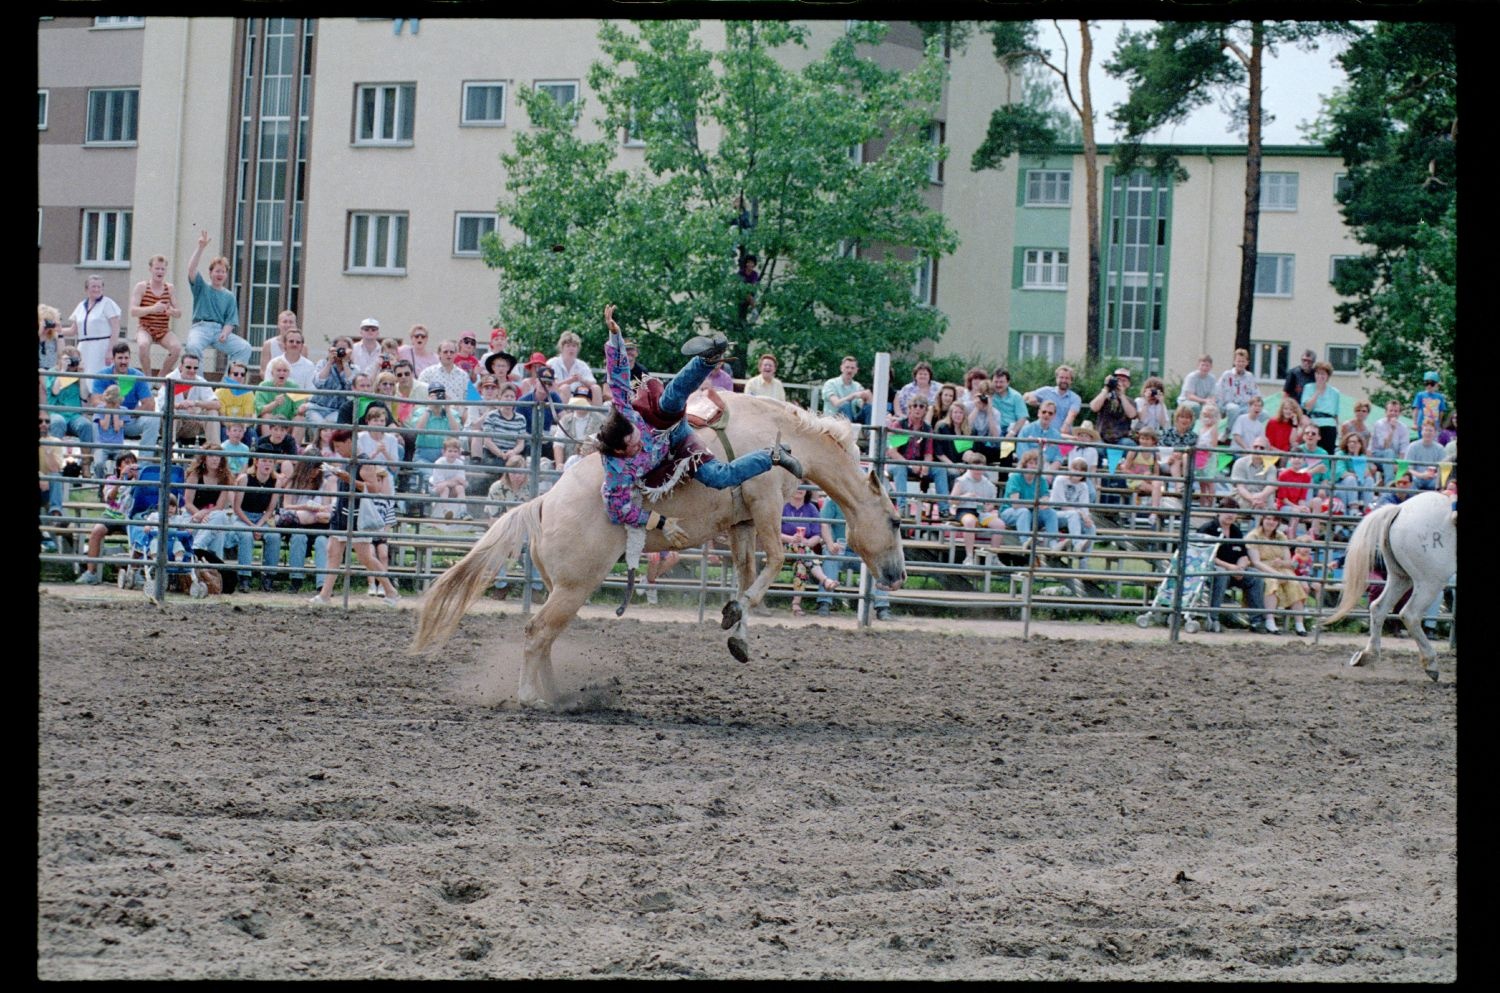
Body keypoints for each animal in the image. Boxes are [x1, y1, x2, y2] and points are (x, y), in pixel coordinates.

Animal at [405, 393, 906, 711]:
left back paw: (558, 697)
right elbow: (776, 563)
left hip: (562, 587)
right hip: (575, 586)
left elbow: (747, 576)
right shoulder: (765, 505)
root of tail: (542, 502)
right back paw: (531, 699)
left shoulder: (741, 522)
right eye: (898, 521)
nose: (898, 575)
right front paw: (734, 617)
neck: (783, 433)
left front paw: (738, 634)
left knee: (546, 637)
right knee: (536, 632)